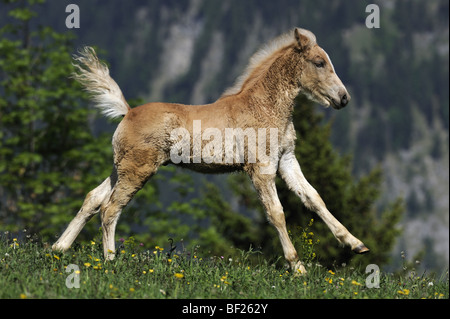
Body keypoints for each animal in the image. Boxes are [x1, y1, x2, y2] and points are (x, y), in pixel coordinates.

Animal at [53, 28, 370, 276]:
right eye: (319, 62)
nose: (344, 98)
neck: (265, 106)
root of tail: (127, 112)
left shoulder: (286, 160)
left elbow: (315, 198)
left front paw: (356, 244)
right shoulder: (261, 167)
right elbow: (277, 213)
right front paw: (298, 267)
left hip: (120, 167)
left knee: (93, 198)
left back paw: (59, 248)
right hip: (138, 169)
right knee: (110, 208)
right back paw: (109, 262)